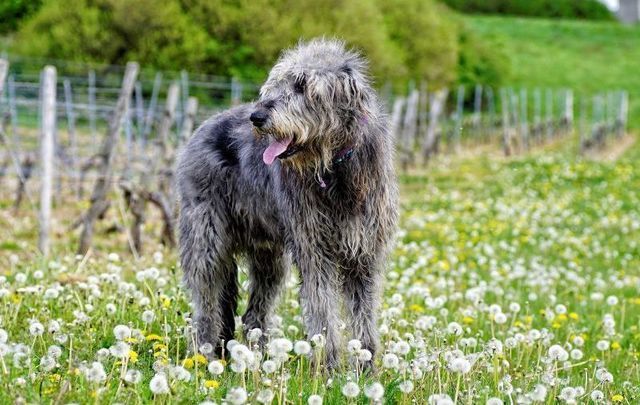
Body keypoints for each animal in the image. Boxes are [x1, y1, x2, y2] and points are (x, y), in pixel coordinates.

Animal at [175, 37, 396, 366]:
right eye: (275, 84)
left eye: (302, 85)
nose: (257, 117)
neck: (334, 169)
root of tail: (203, 126)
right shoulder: (314, 249)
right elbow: (322, 313)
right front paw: (329, 368)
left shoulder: (364, 253)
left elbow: (364, 317)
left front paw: (366, 369)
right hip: (206, 238)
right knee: (206, 303)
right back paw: (206, 356)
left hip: (269, 255)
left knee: (253, 314)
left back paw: (260, 359)